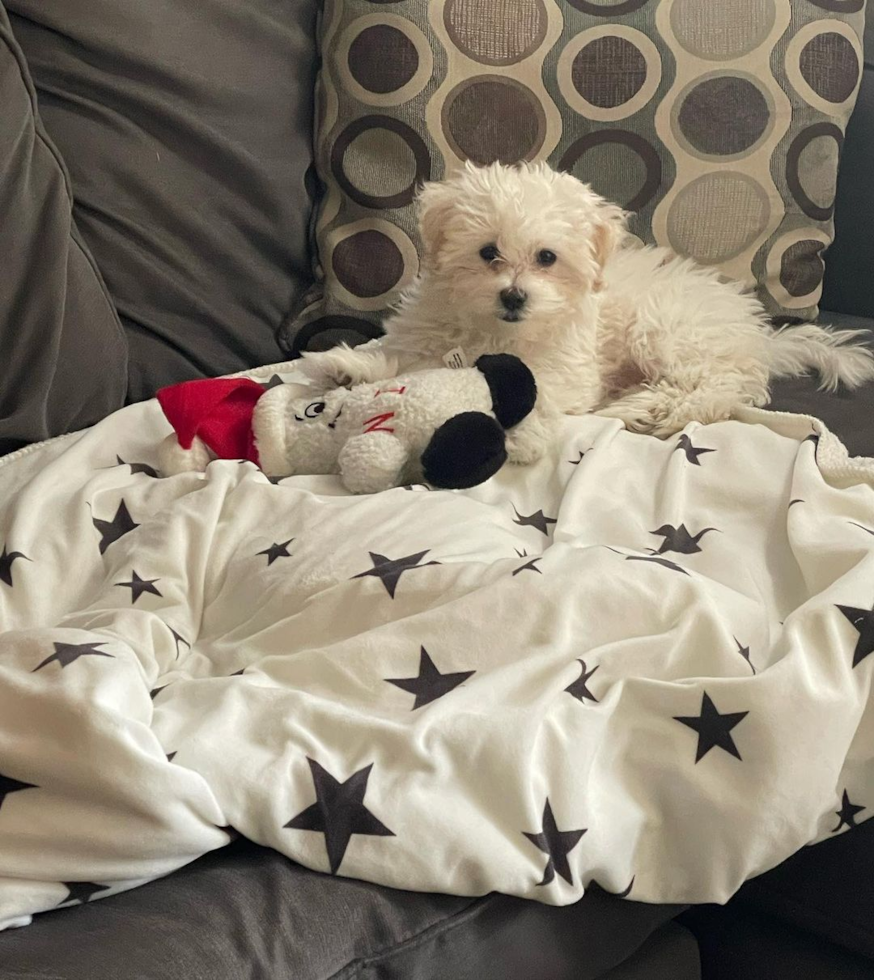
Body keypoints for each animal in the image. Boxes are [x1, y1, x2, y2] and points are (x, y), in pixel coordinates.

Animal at [304, 161, 872, 464]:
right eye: (488, 252)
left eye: (546, 257)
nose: (514, 297)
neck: (494, 331)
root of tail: (759, 334)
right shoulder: (429, 333)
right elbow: (403, 359)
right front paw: (351, 367)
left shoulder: (565, 366)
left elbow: (537, 392)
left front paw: (520, 436)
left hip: (667, 330)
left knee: (718, 389)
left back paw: (651, 409)